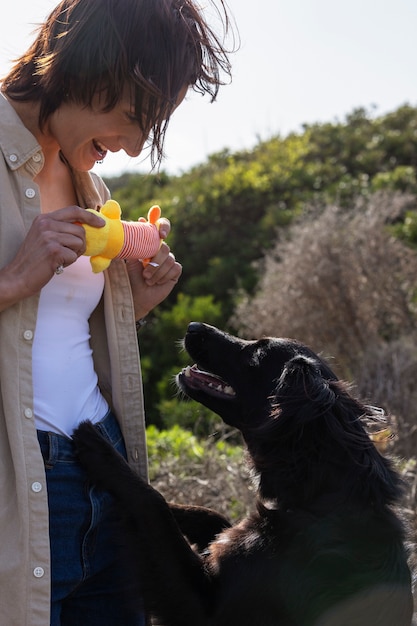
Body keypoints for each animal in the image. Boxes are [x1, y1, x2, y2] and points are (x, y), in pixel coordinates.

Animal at [74, 320, 412, 620]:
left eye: (258, 353)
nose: (192, 326)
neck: (315, 499)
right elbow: (210, 516)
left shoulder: (205, 607)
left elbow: (153, 505)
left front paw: (101, 450)